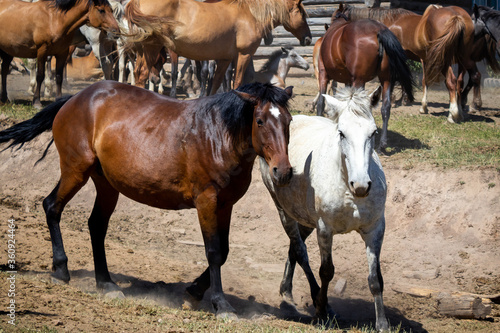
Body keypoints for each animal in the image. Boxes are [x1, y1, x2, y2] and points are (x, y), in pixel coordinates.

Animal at [0, 81, 294, 318]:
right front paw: (221, 305)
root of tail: (76, 98)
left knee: (96, 226)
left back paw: (106, 284)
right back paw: (61, 271)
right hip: (76, 170)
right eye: (260, 121)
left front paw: (193, 293)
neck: (218, 135)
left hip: (105, 183)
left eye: (289, 121)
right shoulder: (207, 201)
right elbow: (214, 252)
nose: (283, 171)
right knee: (52, 207)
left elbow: (224, 251)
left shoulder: (225, 204)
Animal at [125, 0, 310, 96]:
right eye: (301, 13)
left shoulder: (224, 58)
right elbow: (237, 82)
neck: (250, 14)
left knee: (137, 73)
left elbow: (215, 85)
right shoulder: (243, 55)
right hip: (151, 49)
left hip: (142, 51)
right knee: (142, 75)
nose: (308, 38)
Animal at [260, 86, 388, 332]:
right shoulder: (325, 229)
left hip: (305, 218)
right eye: (342, 133)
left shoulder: (375, 229)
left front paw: (383, 323)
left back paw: (287, 291)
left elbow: (375, 278)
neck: (347, 186)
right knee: (300, 251)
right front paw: (322, 313)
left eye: (374, 132)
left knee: (294, 247)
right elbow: (326, 271)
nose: (361, 185)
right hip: (284, 211)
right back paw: (317, 302)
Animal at [340, 3, 476, 123]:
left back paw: (453, 115)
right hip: (463, 60)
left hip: (443, 61)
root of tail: (457, 17)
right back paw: (461, 112)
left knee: (452, 82)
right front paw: (405, 99)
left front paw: (397, 100)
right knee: (462, 82)